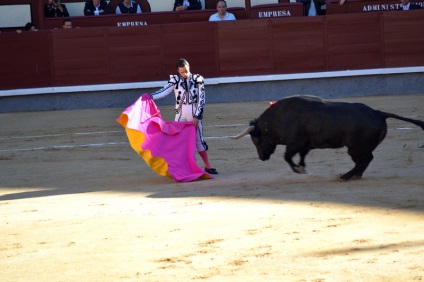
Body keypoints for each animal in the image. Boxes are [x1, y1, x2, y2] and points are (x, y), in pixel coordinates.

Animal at [232, 94, 424, 178]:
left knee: (364, 160)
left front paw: (297, 169)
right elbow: (301, 156)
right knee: (364, 161)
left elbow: (287, 157)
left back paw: (346, 176)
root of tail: (378, 113)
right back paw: (353, 175)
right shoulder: (305, 145)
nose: (262, 157)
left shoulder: (294, 143)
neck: (278, 118)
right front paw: (302, 167)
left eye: (255, 139)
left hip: (356, 148)